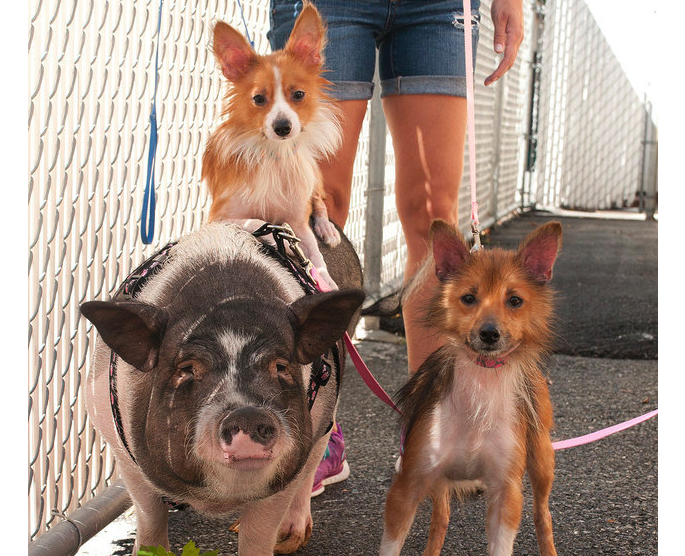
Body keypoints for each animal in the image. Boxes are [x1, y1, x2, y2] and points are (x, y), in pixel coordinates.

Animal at [81, 223, 364, 556]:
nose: (248, 414)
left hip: (326, 413)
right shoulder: (122, 450)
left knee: (313, 463)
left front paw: (259, 537)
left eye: (280, 366)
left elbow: (258, 535)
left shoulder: (289, 466)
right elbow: (150, 518)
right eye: (187, 369)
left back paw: (286, 539)